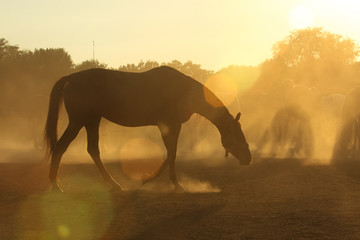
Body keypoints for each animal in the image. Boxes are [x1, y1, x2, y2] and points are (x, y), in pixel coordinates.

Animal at [43, 65, 252, 191]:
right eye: (236, 134)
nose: (248, 159)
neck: (182, 92)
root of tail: (72, 78)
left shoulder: (172, 126)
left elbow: (171, 154)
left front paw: (171, 182)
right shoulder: (169, 125)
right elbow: (171, 153)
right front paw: (154, 179)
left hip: (92, 121)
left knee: (93, 149)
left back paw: (113, 183)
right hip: (78, 121)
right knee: (61, 147)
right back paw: (55, 184)